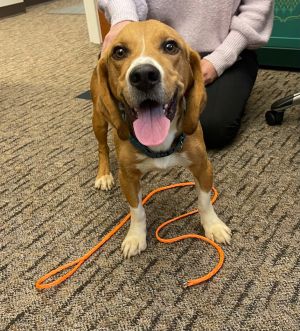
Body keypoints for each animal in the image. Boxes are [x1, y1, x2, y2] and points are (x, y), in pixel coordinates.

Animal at [90, 20, 231, 260]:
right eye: (119, 52)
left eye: (170, 46)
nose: (144, 75)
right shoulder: (127, 177)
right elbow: (137, 211)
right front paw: (135, 236)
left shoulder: (203, 166)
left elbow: (204, 201)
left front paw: (212, 225)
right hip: (99, 118)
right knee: (102, 148)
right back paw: (104, 174)